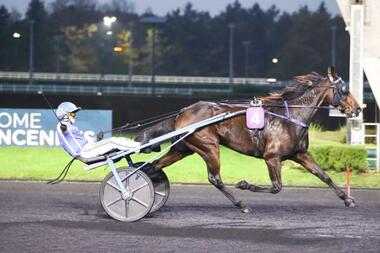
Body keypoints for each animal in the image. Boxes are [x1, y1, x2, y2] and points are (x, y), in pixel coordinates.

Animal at [136, 67, 360, 213]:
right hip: (209, 146)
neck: (291, 117)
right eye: (345, 90)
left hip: (184, 148)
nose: (357, 109)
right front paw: (245, 184)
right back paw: (242, 204)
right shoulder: (272, 157)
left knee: (154, 166)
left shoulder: (300, 154)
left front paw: (348, 200)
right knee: (215, 178)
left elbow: (324, 176)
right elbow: (277, 187)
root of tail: (182, 113)